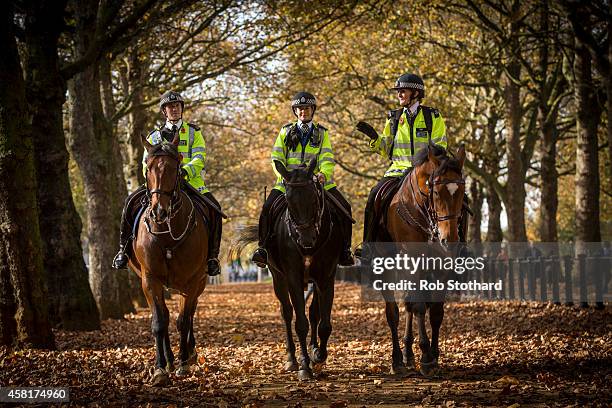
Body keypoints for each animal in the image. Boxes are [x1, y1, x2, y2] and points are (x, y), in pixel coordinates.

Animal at [126, 133, 208, 386]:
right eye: (148, 167)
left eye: (175, 168)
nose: (159, 211)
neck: (166, 234)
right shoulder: (149, 280)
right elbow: (159, 322)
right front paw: (161, 368)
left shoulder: (191, 282)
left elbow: (183, 320)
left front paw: (183, 363)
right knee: (165, 315)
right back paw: (169, 360)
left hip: (198, 282)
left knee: (188, 315)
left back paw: (188, 355)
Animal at [235, 159, 344, 380]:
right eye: (289, 201)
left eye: (314, 198)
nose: (306, 240)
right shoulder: (292, 277)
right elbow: (300, 323)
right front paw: (304, 366)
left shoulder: (326, 277)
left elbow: (324, 323)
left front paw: (319, 355)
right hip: (278, 278)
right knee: (286, 313)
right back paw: (292, 359)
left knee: (313, 313)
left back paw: (313, 350)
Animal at [380, 143, 466, 376]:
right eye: (435, 191)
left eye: (462, 191)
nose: (449, 240)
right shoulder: (413, 260)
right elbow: (417, 306)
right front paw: (426, 356)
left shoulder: (441, 265)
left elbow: (435, 310)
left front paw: (433, 356)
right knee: (394, 311)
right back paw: (398, 359)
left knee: (409, 303)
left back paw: (408, 354)